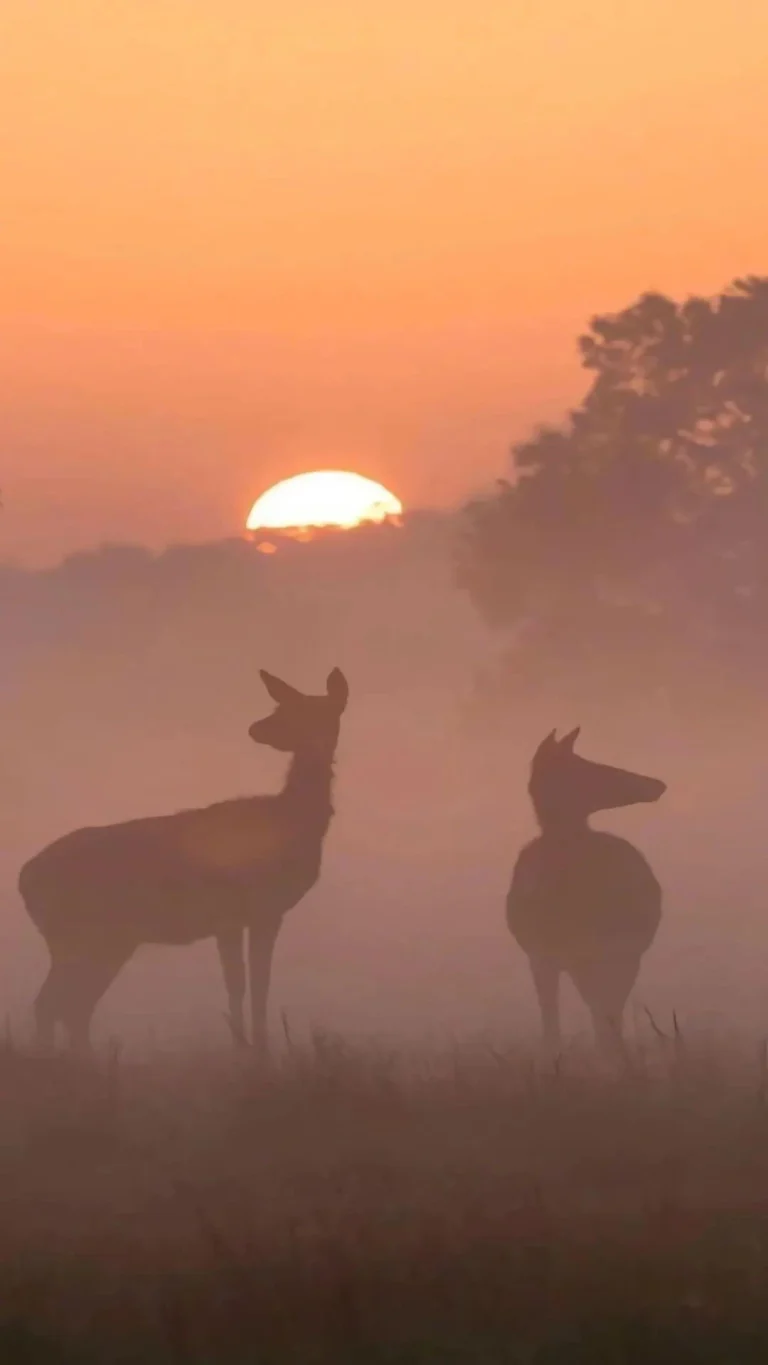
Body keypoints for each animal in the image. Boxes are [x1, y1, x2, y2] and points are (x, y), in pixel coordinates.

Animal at [18, 668, 349, 1059]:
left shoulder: (267, 913)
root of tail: (24, 878)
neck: (289, 822)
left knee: (72, 1006)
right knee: (53, 1003)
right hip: (72, 935)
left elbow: (260, 984)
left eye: (306, 708)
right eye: (282, 706)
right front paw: (244, 1054)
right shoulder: (230, 913)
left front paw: (260, 1052)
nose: (256, 728)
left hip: (106, 941)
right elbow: (237, 984)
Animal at [506, 728, 666, 1060]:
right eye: (588, 767)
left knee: (607, 1012)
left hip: (625, 954)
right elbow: (551, 1026)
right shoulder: (541, 956)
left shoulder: (611, 950)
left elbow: (605, 1017)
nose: (658, 784)